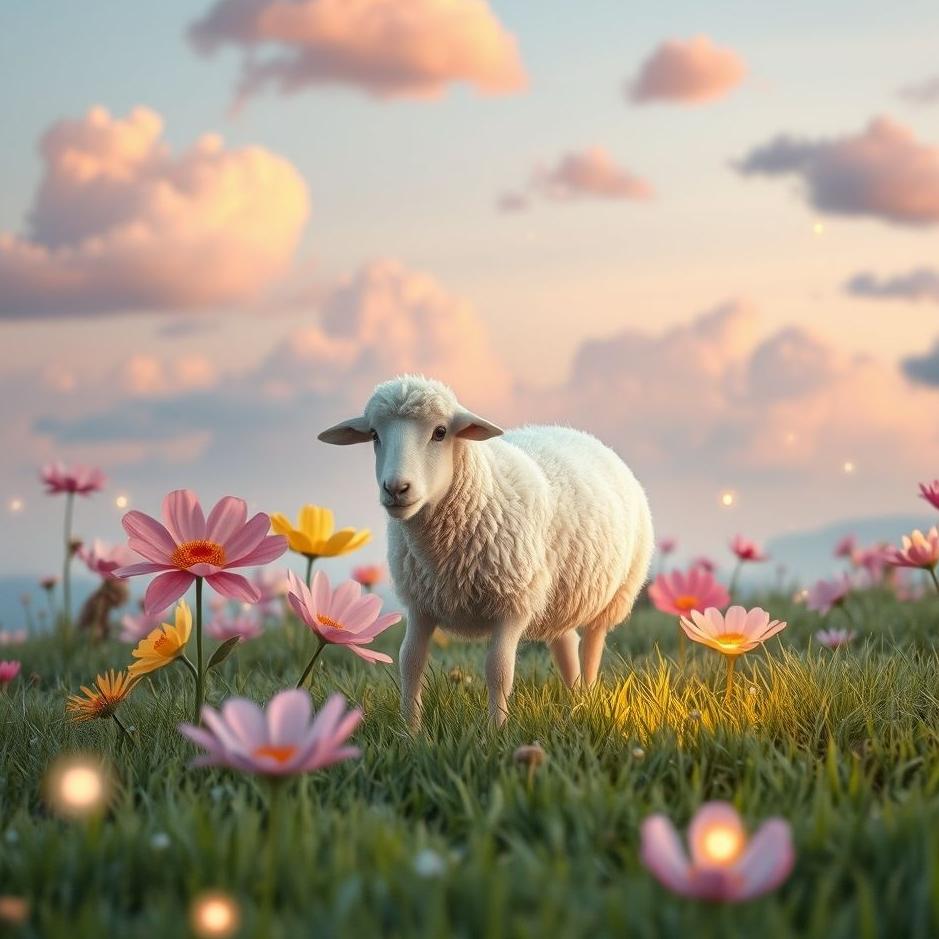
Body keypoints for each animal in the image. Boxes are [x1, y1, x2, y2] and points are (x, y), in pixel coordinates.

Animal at [318, 375, 654, 727]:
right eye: (374, 434)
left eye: (440, 432)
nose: (396, 489)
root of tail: (577, 432)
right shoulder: (421, 603)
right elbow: (410, 662)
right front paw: (410, 730)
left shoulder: (513, 603)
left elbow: (498, 669)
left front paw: (496, 730)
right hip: (554, 594)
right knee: (565, 641)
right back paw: (574, 697)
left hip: (613, 596)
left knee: (591, 646)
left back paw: (586, 697)